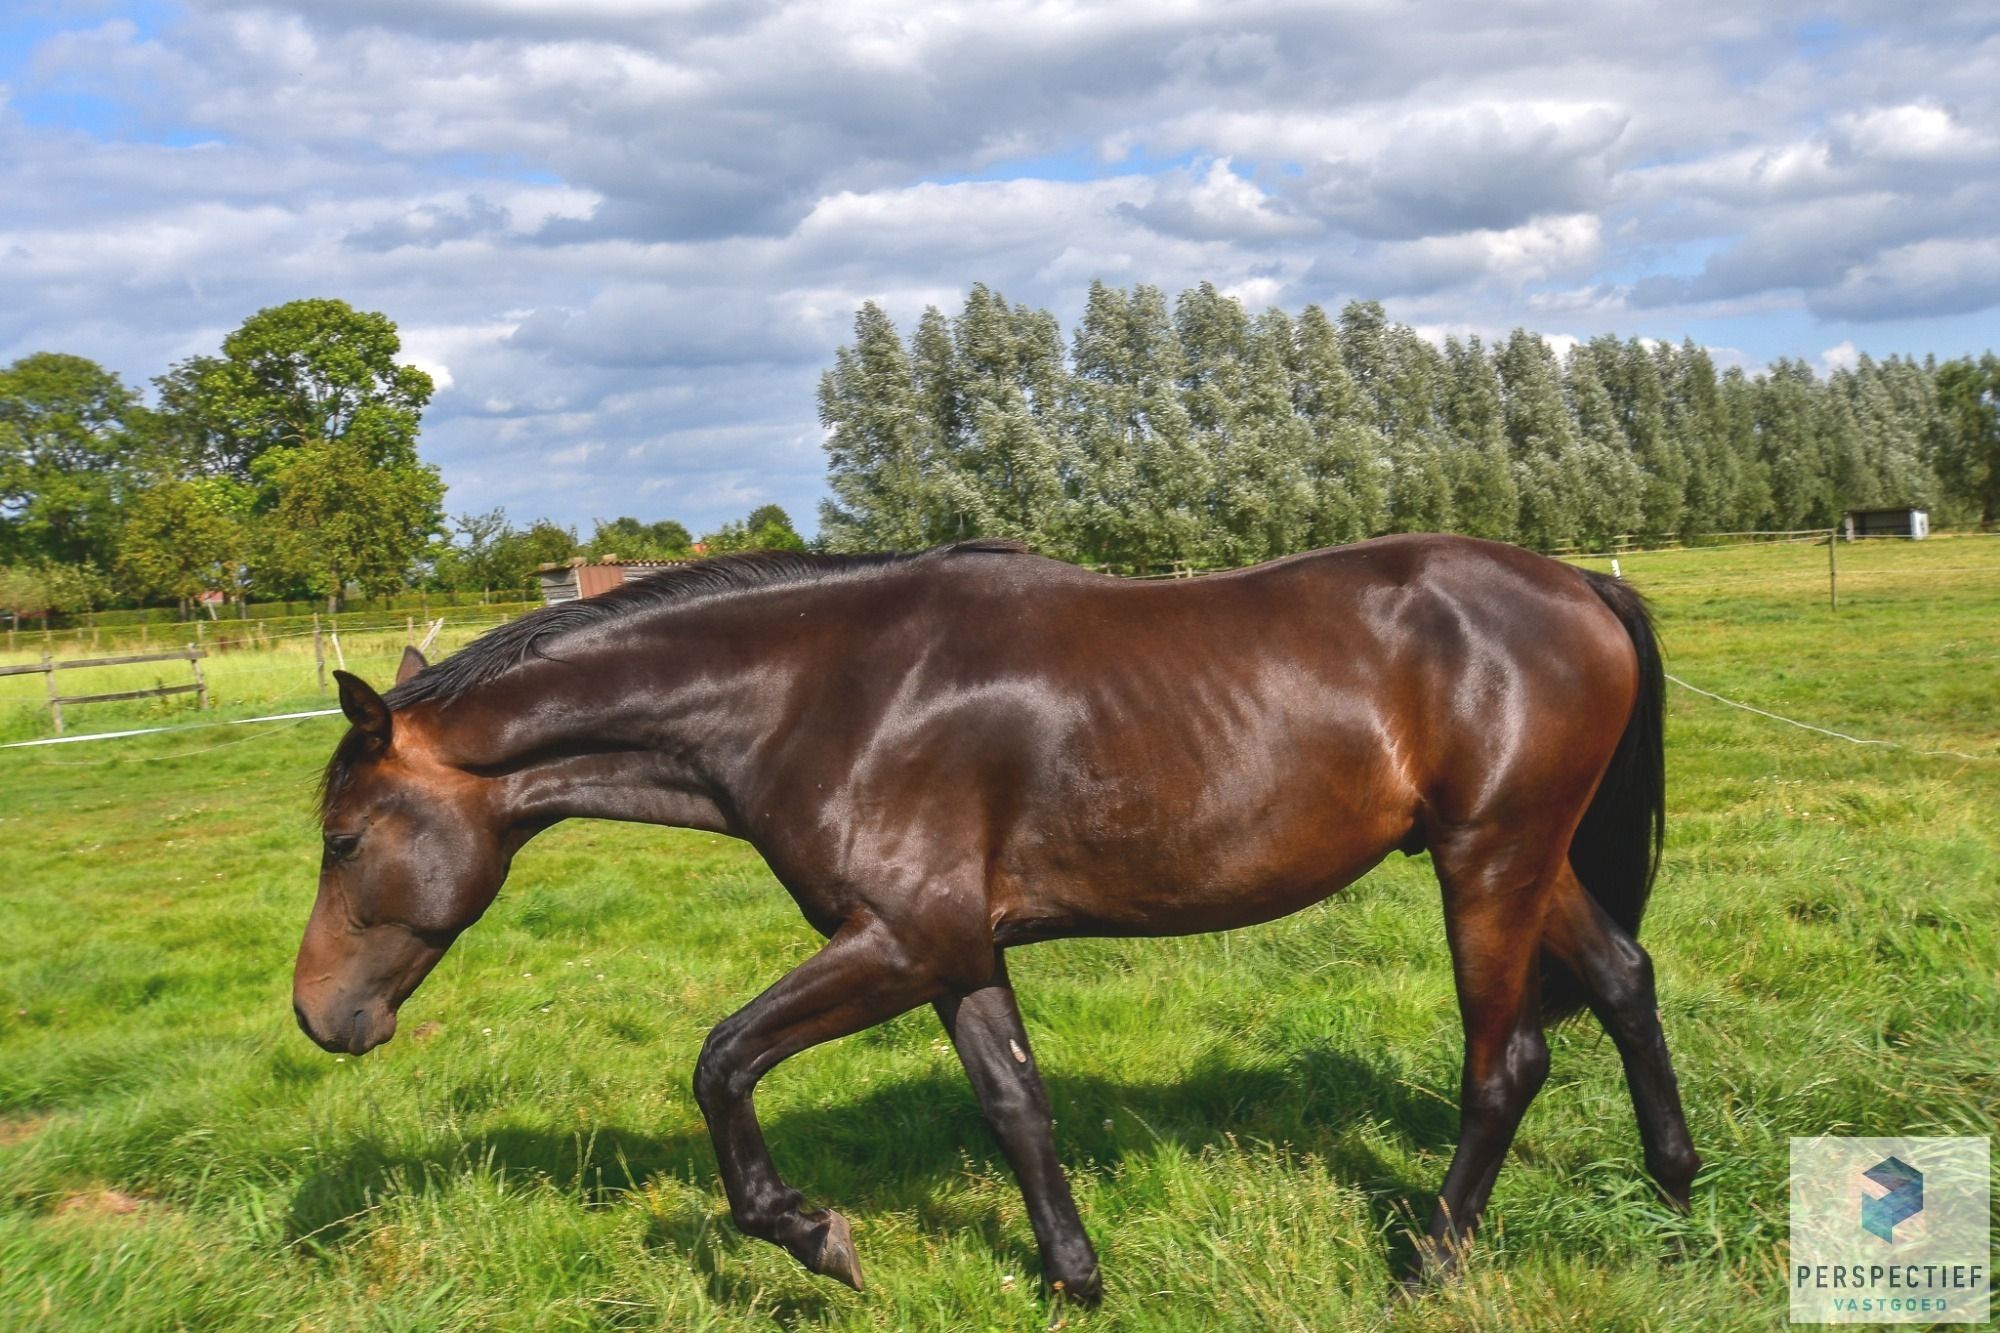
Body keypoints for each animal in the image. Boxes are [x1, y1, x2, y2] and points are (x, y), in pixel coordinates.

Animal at [292, 528, 1704, 1296]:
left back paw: (1431, 1258)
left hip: (1487, 862)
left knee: (1505, 1061)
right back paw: (1676, 1189)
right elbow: (1015, 1104)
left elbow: (720, 1061)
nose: (317, 1018)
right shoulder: (955, 949)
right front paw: (1073, 1278)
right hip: (1525, 856)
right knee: (1626, 978)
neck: (816, 692)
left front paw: (812, 1235)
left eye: (343, 837)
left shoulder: (898, 939)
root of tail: (1578, 587)